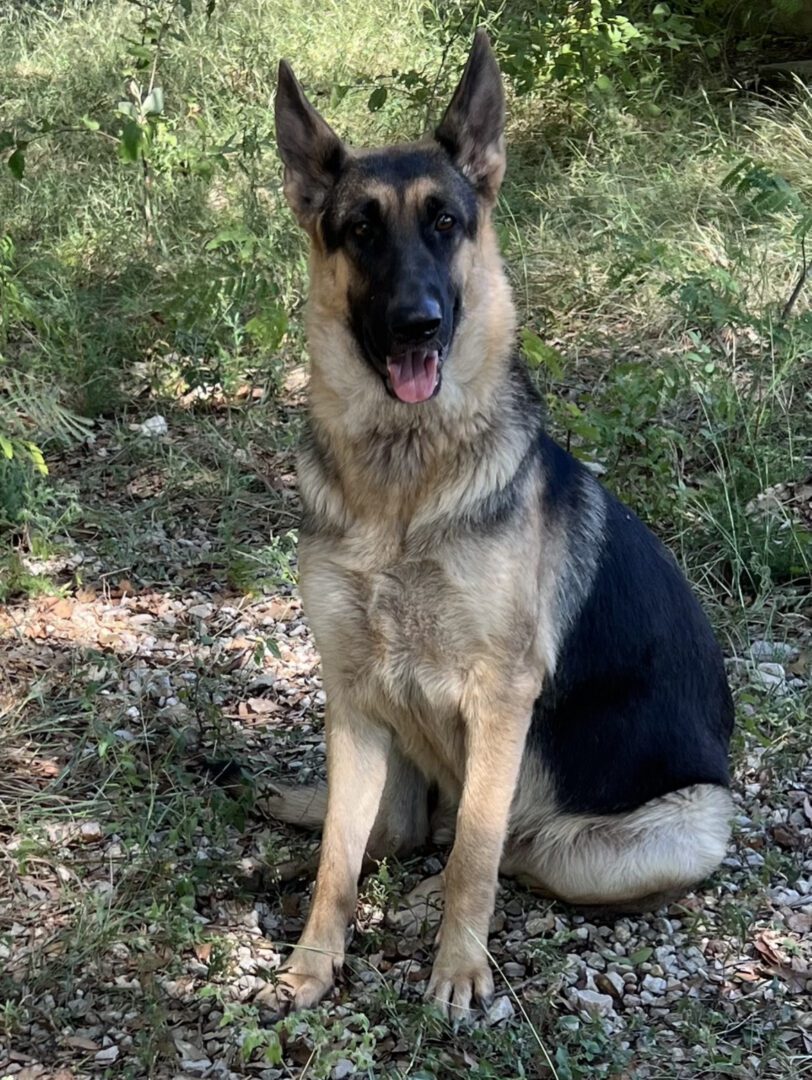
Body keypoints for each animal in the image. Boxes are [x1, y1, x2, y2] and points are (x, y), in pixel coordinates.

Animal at [261, 29, 734, 1015]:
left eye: (447, 222)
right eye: (361, 230)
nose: (418, 324)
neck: (404, 484)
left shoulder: (500, 699)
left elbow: (471, 854)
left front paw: (457, 969)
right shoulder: (353, 694)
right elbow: (339, 857)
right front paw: (313, 961)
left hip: (670, 830)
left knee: (506, 847)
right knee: (397, 830)